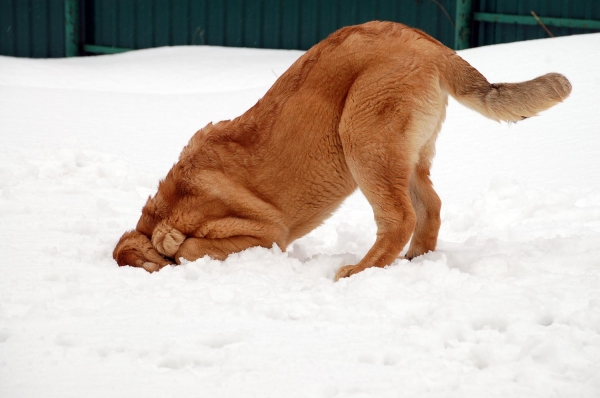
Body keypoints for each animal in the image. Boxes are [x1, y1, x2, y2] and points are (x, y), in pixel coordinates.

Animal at [113, 21, 572, 280]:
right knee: (430, 206)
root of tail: (427, 42)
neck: (169, 206)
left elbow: (188, 248)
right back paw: (413, 260)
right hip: (403, 156)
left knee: (399, 218)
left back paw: (360, 271)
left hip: (362, 139)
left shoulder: (263, 234)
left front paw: (172, 248)